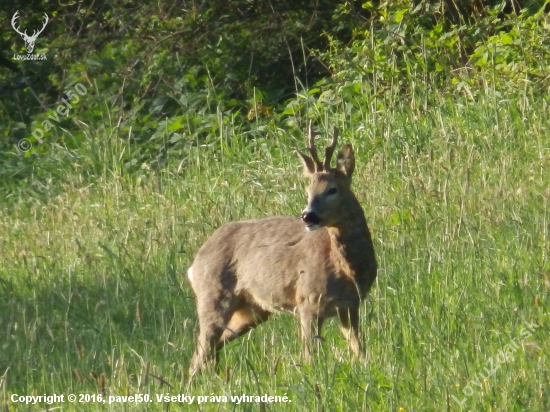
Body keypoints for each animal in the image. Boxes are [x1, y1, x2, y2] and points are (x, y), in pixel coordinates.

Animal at [188, 121, 378, 374]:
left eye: (332, 190)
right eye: (308, 191)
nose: (308, 216)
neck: (347, 270)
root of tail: (194, 263)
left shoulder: (351, 306)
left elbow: (360, 350)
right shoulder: (308, 302)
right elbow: (310, 356)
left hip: (252, 311)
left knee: (208, 351)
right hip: (212, 296)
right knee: (201, 352)